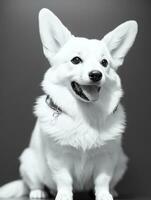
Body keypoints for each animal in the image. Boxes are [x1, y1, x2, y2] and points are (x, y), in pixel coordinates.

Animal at [0, 8, 138, 200]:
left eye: (104, 63)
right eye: (76, 60)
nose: (96, 74)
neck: (84, 115)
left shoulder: (106, 159)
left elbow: (102, 180)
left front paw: (104, 195)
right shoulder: (59, 159)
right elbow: (64, 180)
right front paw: (64, 195)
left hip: (121, 162)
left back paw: (111, 191)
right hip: (28, 162)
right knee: (34, 183)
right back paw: (38, 192)